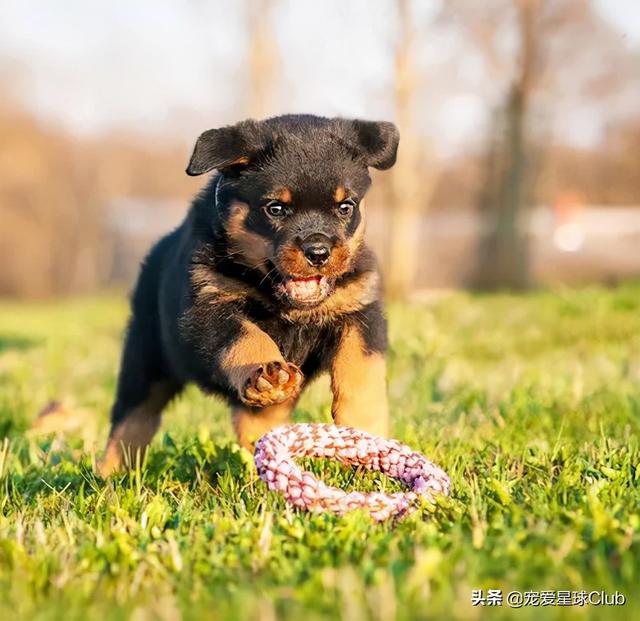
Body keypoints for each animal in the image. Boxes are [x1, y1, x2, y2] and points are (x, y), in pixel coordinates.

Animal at [99, 114, 398, 474]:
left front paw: (366, 431)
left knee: (258, 422)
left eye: (344, 207)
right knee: (133, 418)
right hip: (146, 357)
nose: (318, 252)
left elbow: (361, 369)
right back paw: (111, 474)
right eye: (276, 208)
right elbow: (245, 337)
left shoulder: (360, 308)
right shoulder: (208, 305)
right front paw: (268, 371)